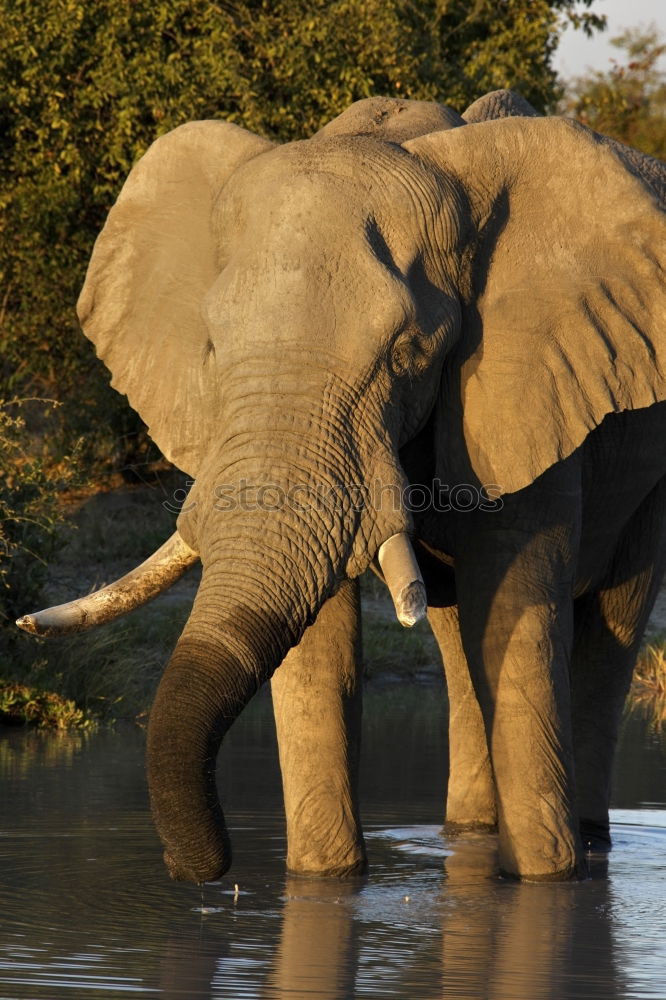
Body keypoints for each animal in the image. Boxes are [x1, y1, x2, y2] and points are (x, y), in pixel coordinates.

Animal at [18, 90, 664, 880]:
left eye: (408, 349)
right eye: (211, 346)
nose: (207, 872)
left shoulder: (526, 386)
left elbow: (517, 614)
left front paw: (548, 881)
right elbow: (322, 652)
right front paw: (322, 881)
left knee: (611, 629)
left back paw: (589, 841)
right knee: (457, 638)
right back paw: (469, 834)